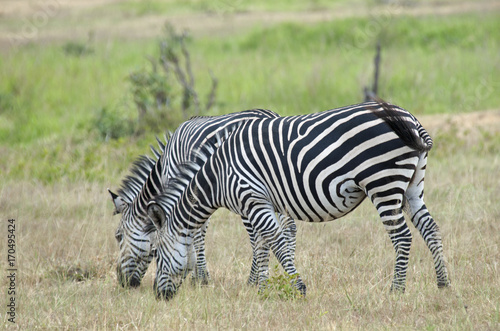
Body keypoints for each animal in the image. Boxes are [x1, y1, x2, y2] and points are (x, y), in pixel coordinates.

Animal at [108, 110, 296, 290]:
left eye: (118, 236)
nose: (124, 283)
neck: (163, 169)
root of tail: (271, 114)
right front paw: (198, 275)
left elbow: (194, 233)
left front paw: (200, 279)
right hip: (280, 189)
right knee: (289, 228)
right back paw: (286, 276)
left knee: (257, 237)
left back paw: (253, 280)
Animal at [147, 101, 450, 300]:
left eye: (157, 254)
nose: (158, 296)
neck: (219, 175)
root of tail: (410, 119)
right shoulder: (261, 204)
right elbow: (263, 245)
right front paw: (262, 287)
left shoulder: (252, 198)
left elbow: (275, 243)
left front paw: (297, 287)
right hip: (412, 186)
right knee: (430, 228)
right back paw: (443, 283)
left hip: (383, 183)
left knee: (403, 237)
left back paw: (396, 290)